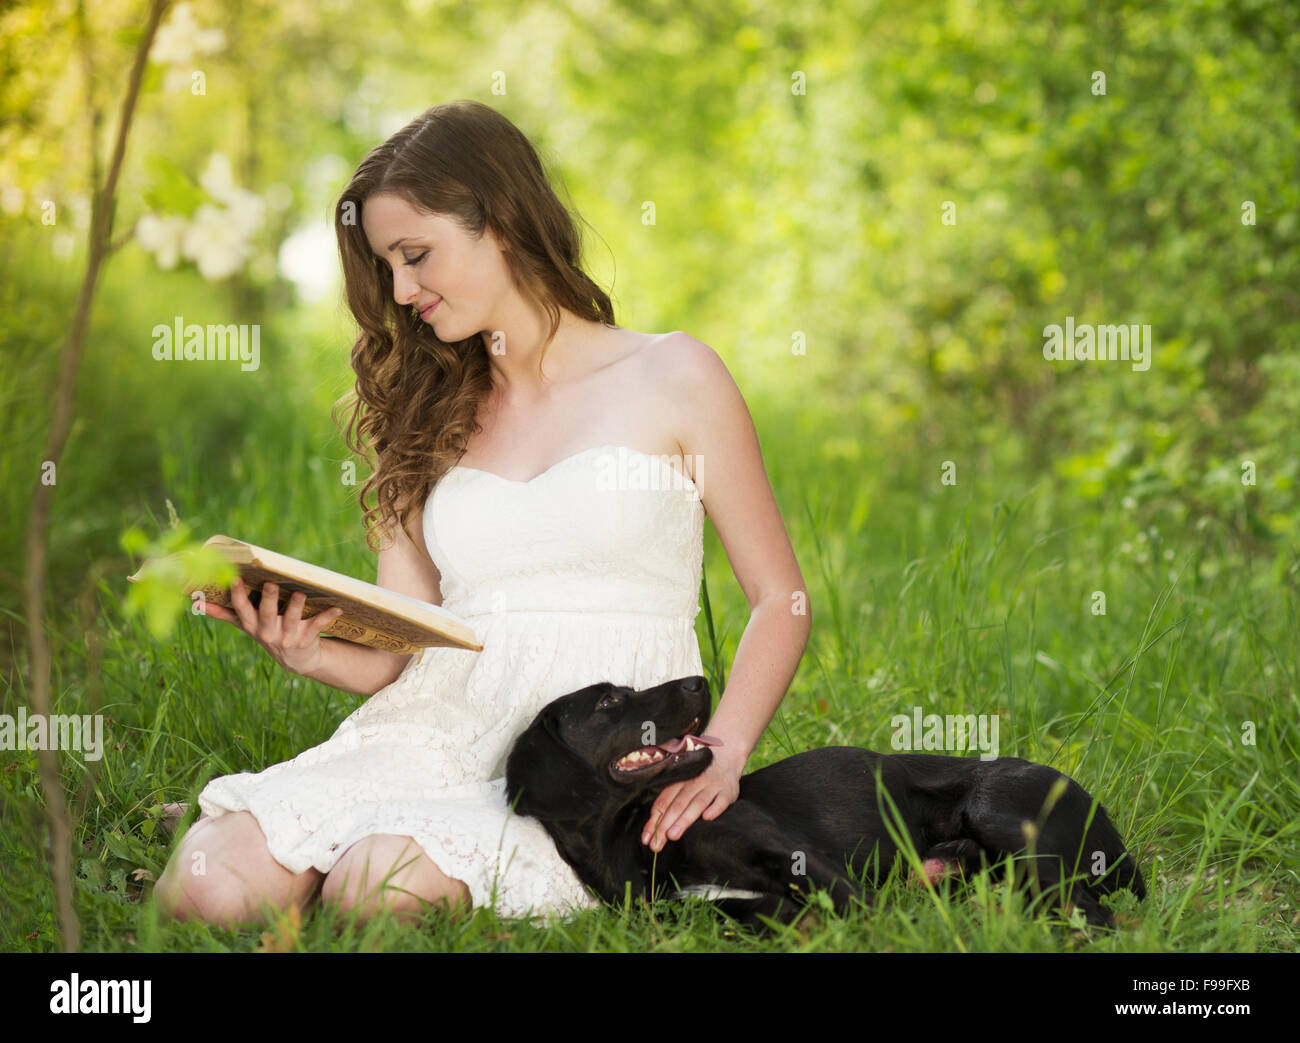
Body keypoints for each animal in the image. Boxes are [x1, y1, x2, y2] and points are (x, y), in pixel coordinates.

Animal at [506, 676, 1149, 925]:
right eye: (609, 702)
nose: (700, 681)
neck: (633, 846)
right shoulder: (727, 912)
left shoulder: (796, 858)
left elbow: (859, 909)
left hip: (999, 810)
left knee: (1094, 912)